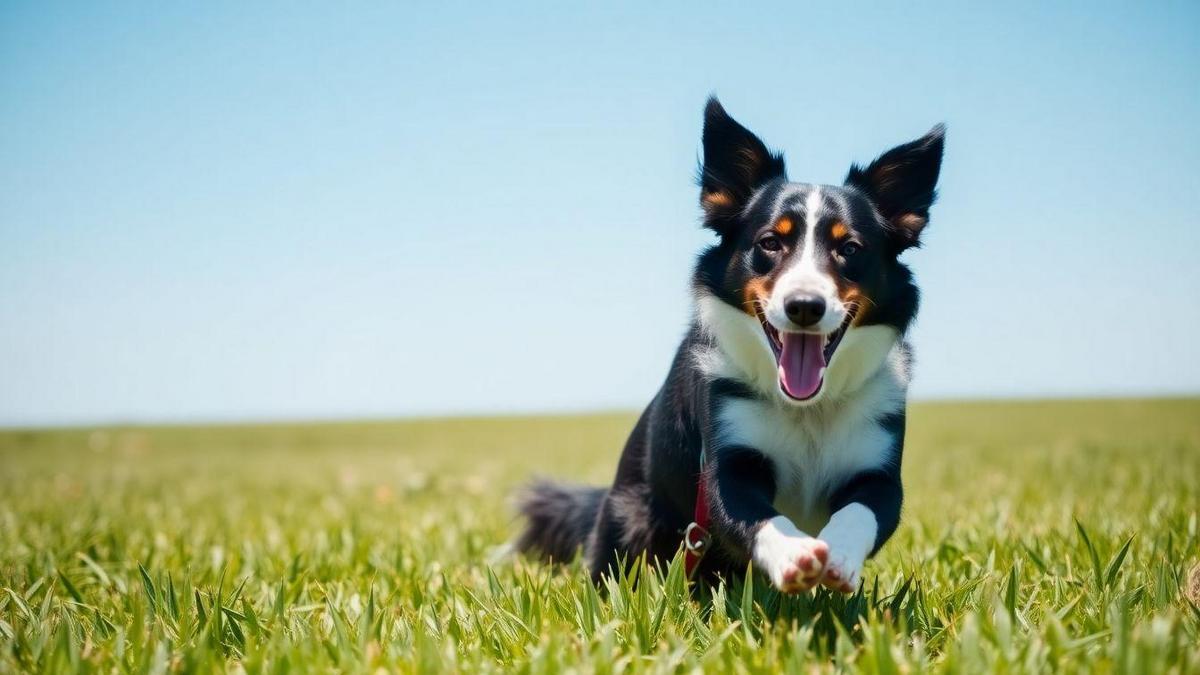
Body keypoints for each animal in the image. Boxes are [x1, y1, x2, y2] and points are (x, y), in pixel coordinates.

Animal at [511, 97, 940, 590]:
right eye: (770, 242)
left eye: (849, 248)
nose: (804, 306)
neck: (807, 410)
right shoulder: (726, 458)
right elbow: (752, 512)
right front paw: (793, 553)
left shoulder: (879, 466)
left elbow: (863, 511)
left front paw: (841, 558)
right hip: (628, 521)